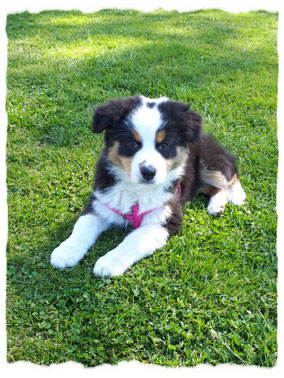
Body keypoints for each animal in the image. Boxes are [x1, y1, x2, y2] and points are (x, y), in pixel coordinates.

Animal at [51, 96, 246, 276]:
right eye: (132, 143)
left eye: (164, 145)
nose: (148, 172)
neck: (136, 189)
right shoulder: (100, 201)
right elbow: (83, 225)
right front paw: (66, 251)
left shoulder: (167, 217)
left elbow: (134, 239)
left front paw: (109, 262)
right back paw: (216, 205)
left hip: (208, 163)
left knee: (230, 174)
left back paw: (236, 196)